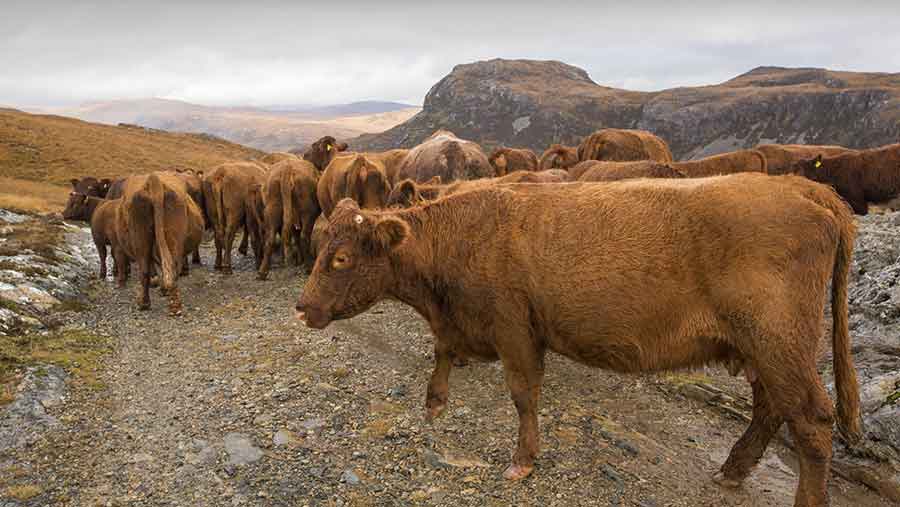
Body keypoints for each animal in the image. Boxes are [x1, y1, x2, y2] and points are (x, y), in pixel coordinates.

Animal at [116, 176, 204, 318]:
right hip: (169, 237)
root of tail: (153, 180)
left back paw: (144, 303)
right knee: (171, 266)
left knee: (145, 269)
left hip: (139, 238)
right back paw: (174, 307)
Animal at [296, 173, 856, 506]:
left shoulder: (515, 329)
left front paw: (523, 461)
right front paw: (434, 403)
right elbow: (443, 351)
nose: (302, 307)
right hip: (760, 347)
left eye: (340, 258)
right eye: (321, 246)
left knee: (810, 418)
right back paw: (733, 469)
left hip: (778, 340)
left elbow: (523, 394)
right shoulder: (464, 325)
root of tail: (804, 187)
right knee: (771, 408)